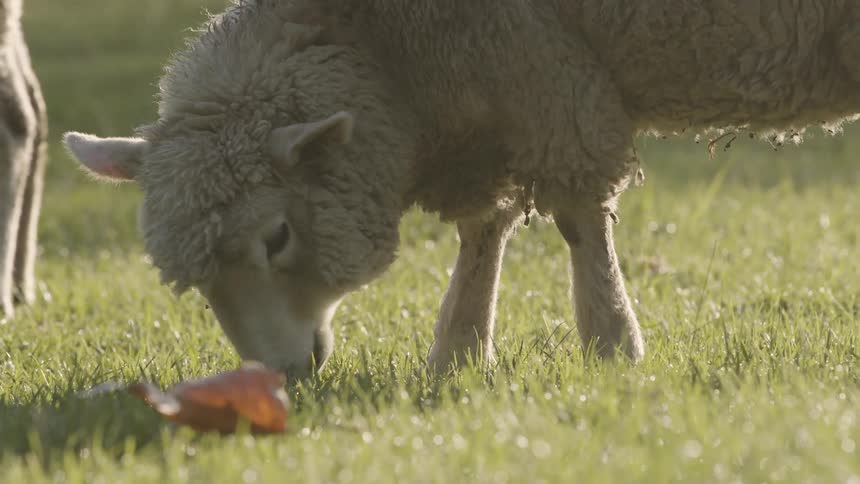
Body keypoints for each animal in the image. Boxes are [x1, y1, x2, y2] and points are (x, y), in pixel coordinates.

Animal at [63, 0, 860, 376]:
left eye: (278, 236)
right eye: (194, 282)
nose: (283, 374)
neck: (386, 56)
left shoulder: (541, 72)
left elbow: (578, 221)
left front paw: (612, 346)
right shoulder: (482, 100)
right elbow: (484, 231)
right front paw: (459, 352)